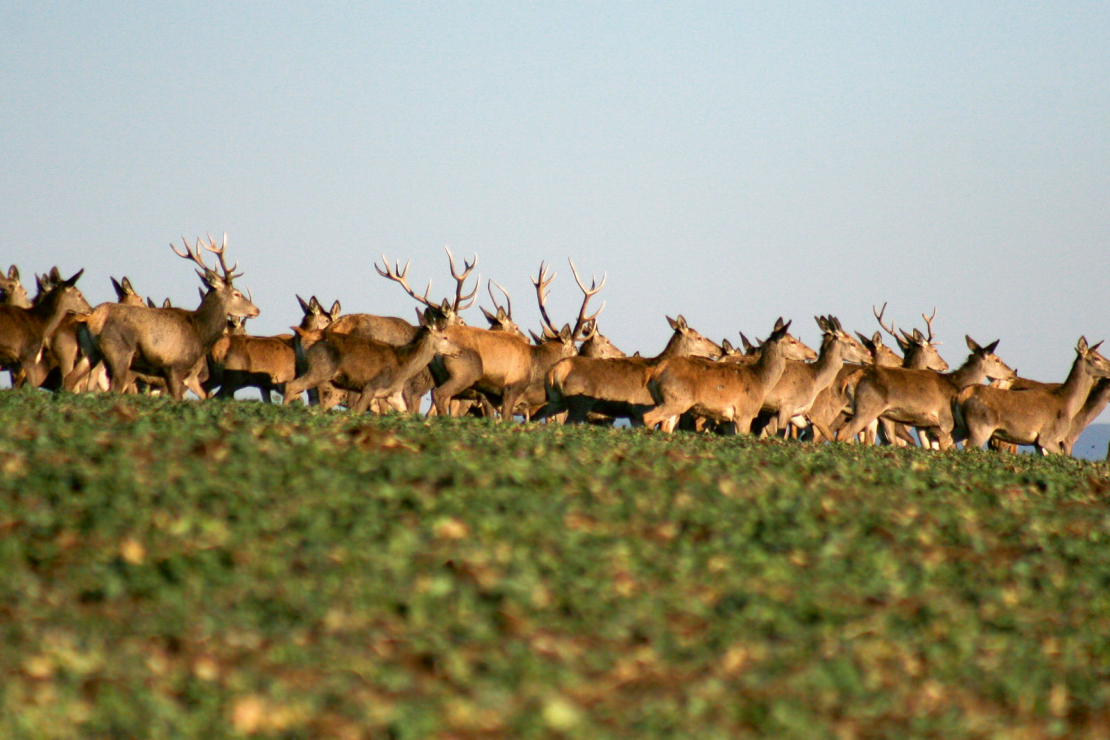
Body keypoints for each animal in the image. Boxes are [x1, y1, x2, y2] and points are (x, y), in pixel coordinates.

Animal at [77, 236, 260, 399]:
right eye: (237, 294)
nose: (256, 310)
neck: (199, 333)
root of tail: (94, 320)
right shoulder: (175, 367)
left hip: (91, 354)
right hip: (119, 354)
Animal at [286, 306, 463, 410]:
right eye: (445, 337)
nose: (459, 350)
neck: (404, 365)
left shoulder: (392, 393)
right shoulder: (371, 387)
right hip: (323, 372)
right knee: (293, 387)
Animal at [643, 319, 816, 434]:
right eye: (792, 342)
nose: (813, 353)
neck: (761, 379)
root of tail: (656, 373)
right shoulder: (745, 412)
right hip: (677, 399)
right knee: (648, 418)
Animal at [834, 337, 1016, 452]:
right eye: (997, 360)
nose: (1012, 373)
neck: (955, 384)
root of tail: (853, 378)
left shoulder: (925, 424)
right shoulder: (945, 421)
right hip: (867, 408)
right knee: (844, 434)